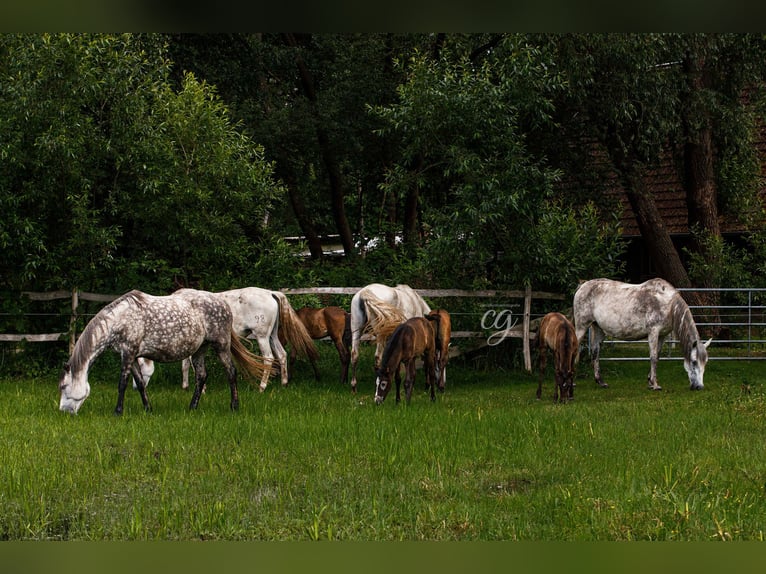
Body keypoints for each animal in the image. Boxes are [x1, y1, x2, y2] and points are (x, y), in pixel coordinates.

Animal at [57, 290, 268, 416]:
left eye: (63, 386)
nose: (64, 412)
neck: (121, 319)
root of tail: (223, 303)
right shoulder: (132, 356)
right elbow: (140, 383)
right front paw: (148, 408)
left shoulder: (128, 353)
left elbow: (122, 383)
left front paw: (118, 411)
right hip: (200, 350)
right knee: (201, 376)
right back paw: (192, 407)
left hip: (221, 345)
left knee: (231, 372)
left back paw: (234, 406)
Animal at [136, 290, 318, 394]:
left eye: (142, 366)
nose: (139, 387)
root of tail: (271, 293)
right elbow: (185, 364)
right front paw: (186, 386)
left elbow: (192, 365)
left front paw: (201, 389)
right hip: (272, 335)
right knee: (282, 354)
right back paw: (284, 383)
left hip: (262, 336)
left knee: (268, 358)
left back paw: (262, 387)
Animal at [576, 278, 712, 392]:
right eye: (694, 362)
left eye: (705, 362)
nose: (699, 387)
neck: (667, 304)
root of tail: (583, 285)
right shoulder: (653, 332)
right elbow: (653, 357)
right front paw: (655, 385)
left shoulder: (662, 335)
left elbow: (657, 356)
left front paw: (650, 382)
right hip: (581, 327)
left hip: (598, 329)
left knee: (595, 353)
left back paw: (601, 382)